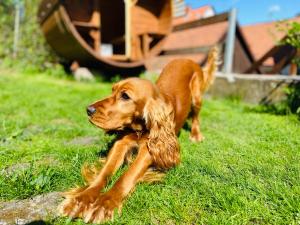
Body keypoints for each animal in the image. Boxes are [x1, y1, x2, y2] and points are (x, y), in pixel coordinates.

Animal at [59, 46, 218, 222]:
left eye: (125, 96)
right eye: (112, 90)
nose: (89, 110)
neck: (139, 128)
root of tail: (188, 59)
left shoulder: (149, 150)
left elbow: (127, 175)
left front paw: (104, 204)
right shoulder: (121, 143)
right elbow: (104, 172)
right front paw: (80, 200)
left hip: (196, 97)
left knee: (196, 116)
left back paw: (196, 135)